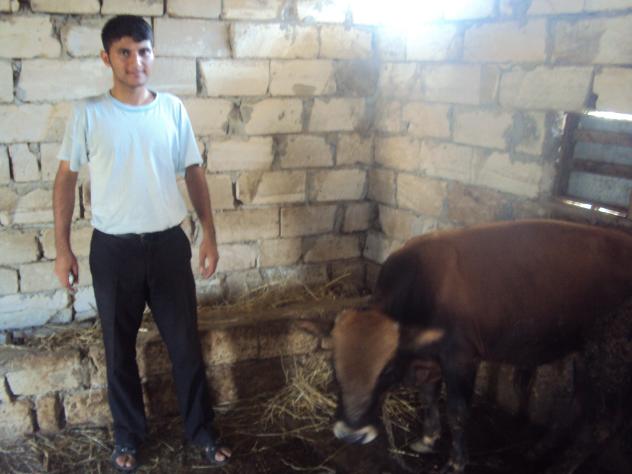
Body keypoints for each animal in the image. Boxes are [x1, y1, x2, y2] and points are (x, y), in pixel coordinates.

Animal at [330, 219, 632, 473]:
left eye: (387, 371)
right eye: (334, 368)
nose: (351, 434)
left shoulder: (461, 358)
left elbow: (458, 412)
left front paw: (456, 462)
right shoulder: (432, 358)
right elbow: (428, 396)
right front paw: (428, 439)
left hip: (609, 360)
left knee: (602, 425)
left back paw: (560, 467)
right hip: (584, 354)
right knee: (578, 403)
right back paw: (539, 449)